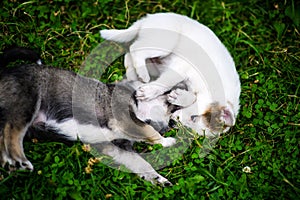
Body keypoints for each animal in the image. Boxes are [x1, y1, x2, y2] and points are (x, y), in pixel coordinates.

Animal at [0, 48, 195, 186]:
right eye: (170, 93)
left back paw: (11, 164)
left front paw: (158, 179)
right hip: (26, 105)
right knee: (11, 133)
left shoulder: (118, 148)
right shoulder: (127, 120)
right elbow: (149, 131)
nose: (171, 125)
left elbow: (141, 164)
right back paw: (19, 161)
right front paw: (168, 141)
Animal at [101, 12, 241, 137]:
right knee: (135, 48)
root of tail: (147, 19)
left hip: (154, 63)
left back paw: (134, 76)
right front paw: (149, 92)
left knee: (129, 55)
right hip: (165, 43)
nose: (172, 122)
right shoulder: (182, 67)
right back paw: (142, 74)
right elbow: (168, 82)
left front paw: (179, 97)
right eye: (194, 117)